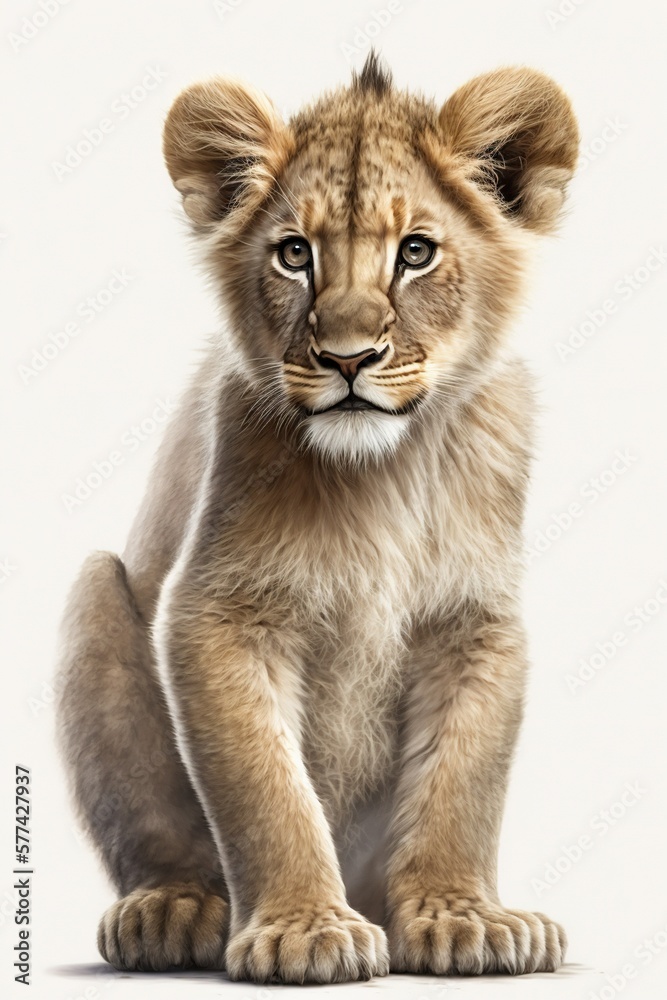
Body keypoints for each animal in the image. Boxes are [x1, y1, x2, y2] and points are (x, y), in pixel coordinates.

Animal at [56, 52, 579, 984]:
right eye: (294, 253)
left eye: (416, 253)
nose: (345, 357)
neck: (383, 472)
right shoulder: (218, 612)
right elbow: (266, 790)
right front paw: (303, 929)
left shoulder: (475, 619)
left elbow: (463, 783)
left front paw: (464, 917)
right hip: (91, 592)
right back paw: (171, 911)